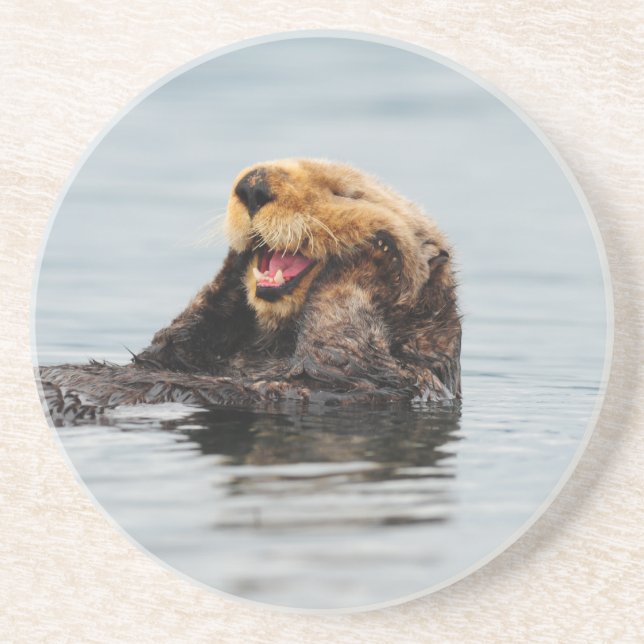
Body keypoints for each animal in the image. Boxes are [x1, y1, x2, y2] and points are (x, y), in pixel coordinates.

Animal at [39, 159, 461, 422]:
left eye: (344, 192)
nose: (253, 185)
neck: (271, 350)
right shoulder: (168, 358)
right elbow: (175, 340)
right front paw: (237, 256)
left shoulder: (387, 378)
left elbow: (338, 348)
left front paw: (379, 250)